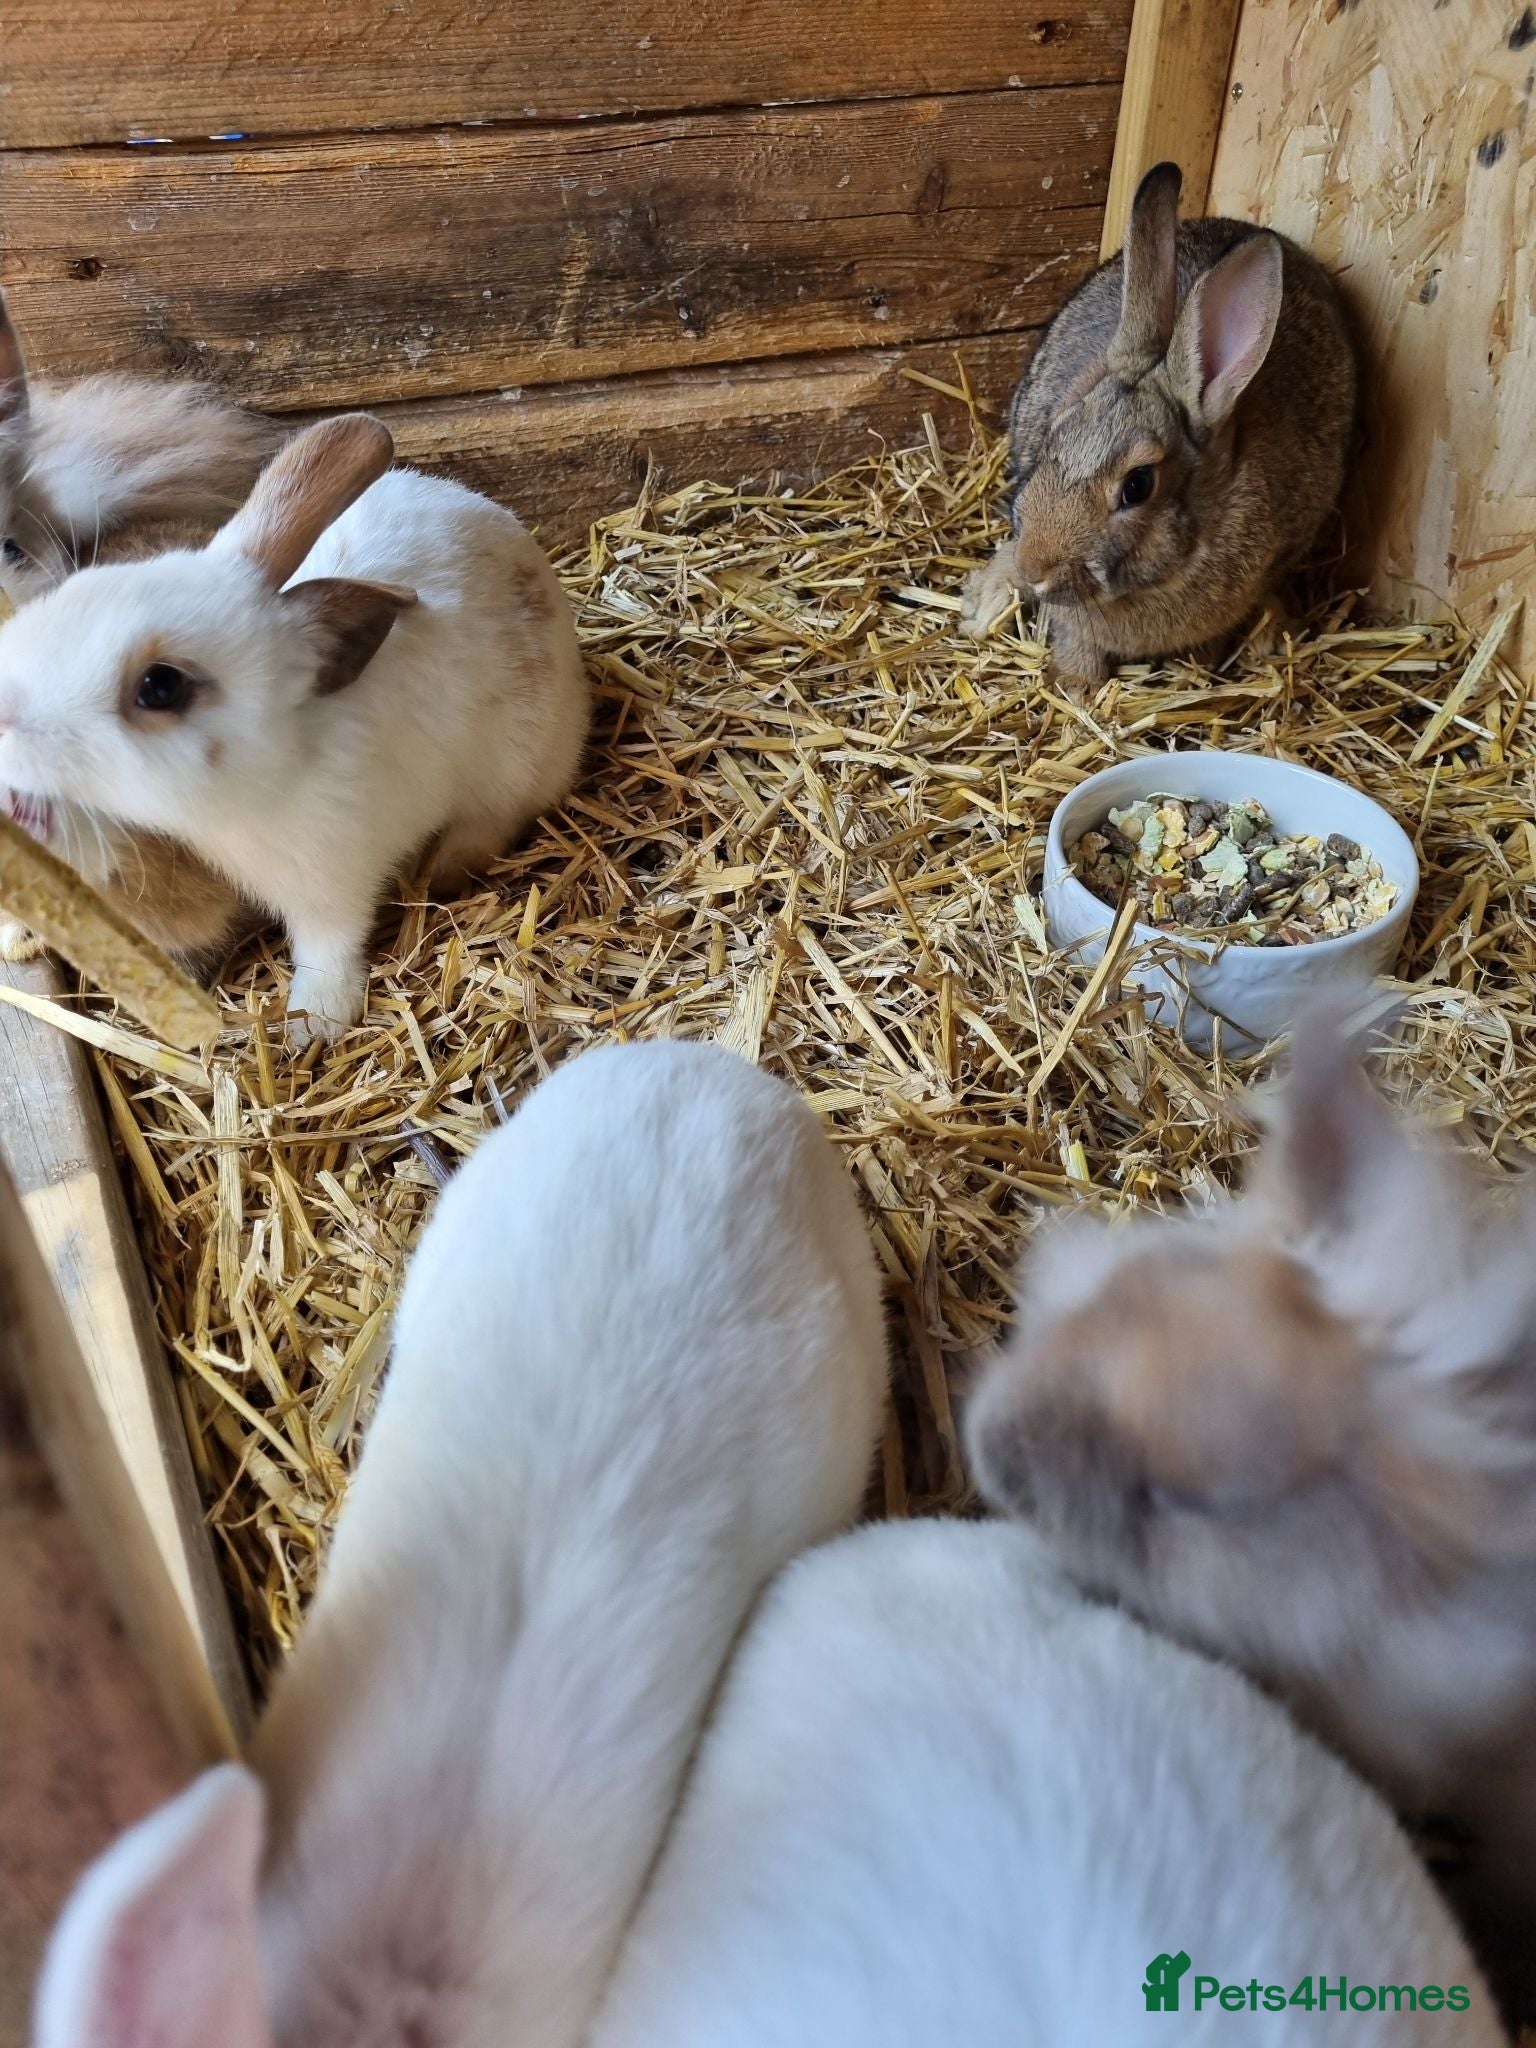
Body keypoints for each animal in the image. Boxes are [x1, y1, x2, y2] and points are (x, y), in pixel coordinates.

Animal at [960, 161, 1357, 692]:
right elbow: (1076, 640)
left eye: (1138, 485)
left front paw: (1192, 670)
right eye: (1052, 439)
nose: (1035, 568)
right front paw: (1076, 684)